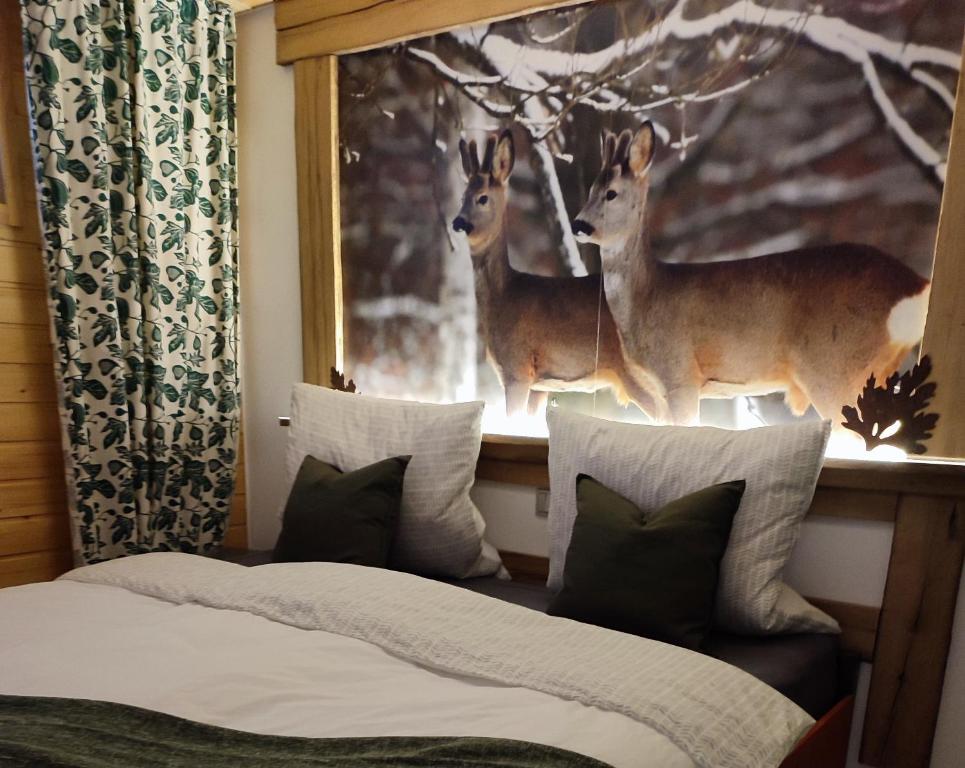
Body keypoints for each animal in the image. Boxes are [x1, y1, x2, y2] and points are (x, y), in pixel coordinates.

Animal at [448, 132, 660, 420]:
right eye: (462, 198)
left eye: (483, 198)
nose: (458, 222)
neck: (504, 296)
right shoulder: (541, 384)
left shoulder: (517, 368)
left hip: (635, 375)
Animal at [572, 123, 928, 428]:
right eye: (589, 189)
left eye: (612, 193)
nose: (578, 225)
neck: (646, 298)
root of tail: (914, 284)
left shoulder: (680, 374)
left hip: (835, 368)